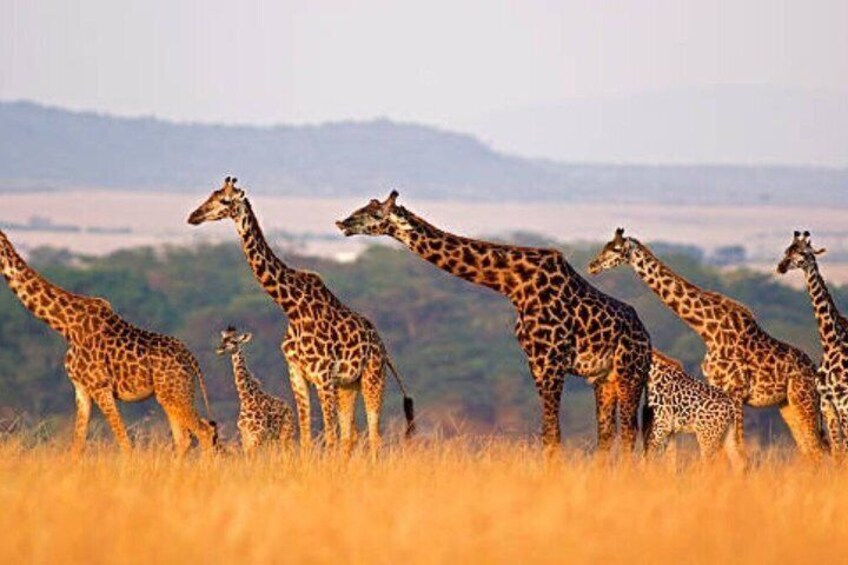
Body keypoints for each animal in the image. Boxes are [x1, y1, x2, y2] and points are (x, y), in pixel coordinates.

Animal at [0, 230, 217, 456]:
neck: (66, 326)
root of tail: (191, 359)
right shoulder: (82, 389)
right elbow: (77, 445)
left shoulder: (100, 387)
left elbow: (124, 441)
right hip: (170, 396)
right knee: (185, 438)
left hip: (175, 394)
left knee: (204, 432)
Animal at [188, 177, 414, 456]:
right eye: (212, 194)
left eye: (224, 200)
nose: (193, 216)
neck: (291, 308)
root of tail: (383, 347)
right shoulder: (296, 373)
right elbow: (307, 438)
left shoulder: (323, 376)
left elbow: (329, 436)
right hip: (348, 385)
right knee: (350, 437)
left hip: (372, 377)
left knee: (373, 436)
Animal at [336, 191, 652, 453]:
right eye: (362, 207)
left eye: (376, 215)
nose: (342, 222)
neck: (514, 283)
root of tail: (647, 340)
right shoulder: (536, 362)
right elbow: (549, 432)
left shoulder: (551, 361)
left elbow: (552, 433)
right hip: (605, 380)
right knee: (607, 434)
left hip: (630, 373)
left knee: (628, 432)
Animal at [589, 228, 825, 459]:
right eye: (606, 246)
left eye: (615, 249)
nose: (592, 265)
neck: (708, 330)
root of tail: (814, 369)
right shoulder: (718, 387)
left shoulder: (736, 390)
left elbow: (738, 450)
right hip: (787, 405)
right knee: (810, 449)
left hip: (804, 400)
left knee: (817, 447)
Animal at [777, 230, 848, 454]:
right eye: (787, 251)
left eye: (804, 253)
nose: (780, 267)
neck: (830, 341)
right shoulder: (827, 403)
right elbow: (838, 451)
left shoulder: (842, 400)